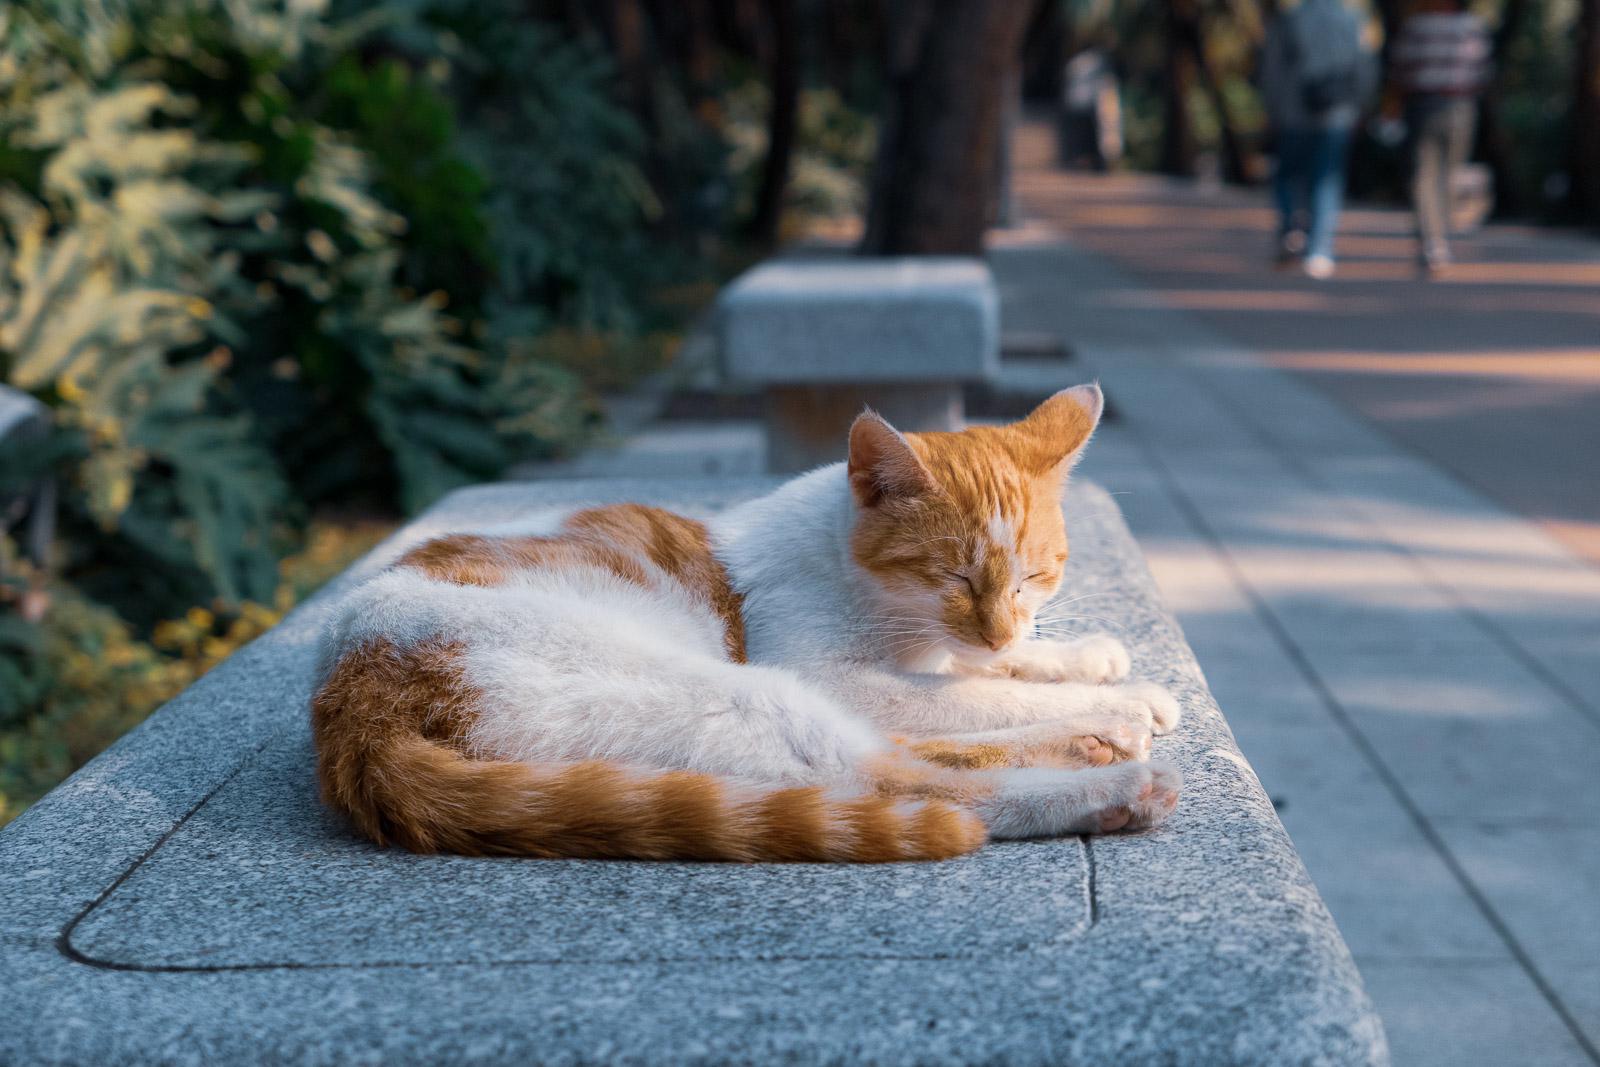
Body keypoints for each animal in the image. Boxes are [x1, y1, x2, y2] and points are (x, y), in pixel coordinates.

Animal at [315, 383, 1177, 857]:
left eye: (1034, 576)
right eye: (954, 575)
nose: (1000, 626)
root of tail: (353, 693)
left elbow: (986, 674)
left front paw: (1092, 661)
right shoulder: (829, 672)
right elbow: (975, 692)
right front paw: (1109, 697)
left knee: (899, 757)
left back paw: (1091, 743)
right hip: (742, 693)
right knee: (898, 777)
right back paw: (1112, 776)